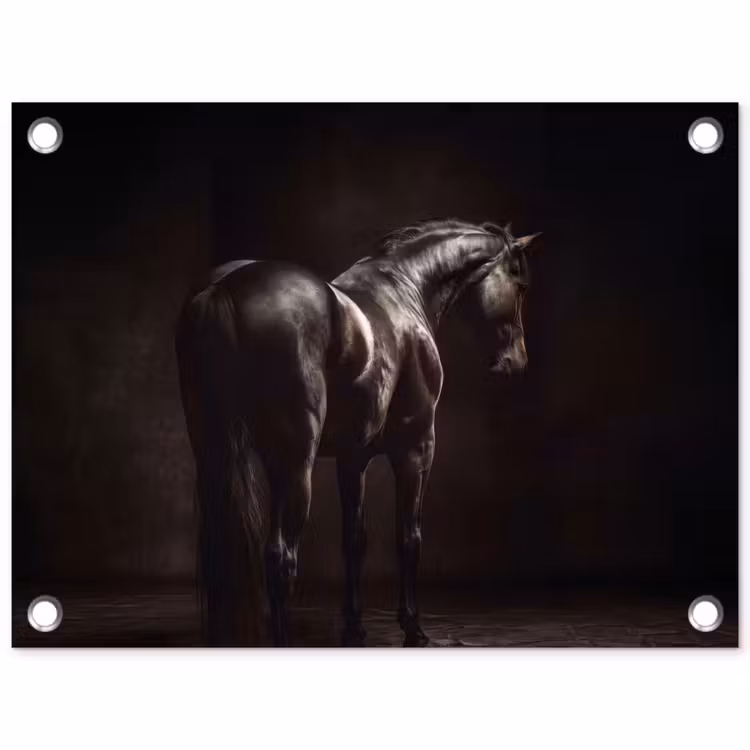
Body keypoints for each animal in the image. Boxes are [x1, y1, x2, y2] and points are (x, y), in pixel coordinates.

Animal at [175, 218, 541, 646]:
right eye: (520, 285)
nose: (516, 362)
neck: (405, 287)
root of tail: (224, 287)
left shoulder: (353, 457)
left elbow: (354, 540)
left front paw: (354, 626)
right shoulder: (416, 449)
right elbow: (408, 537)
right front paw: (413, 627)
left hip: (213, 452)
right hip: (293, 464)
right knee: (281, 558)